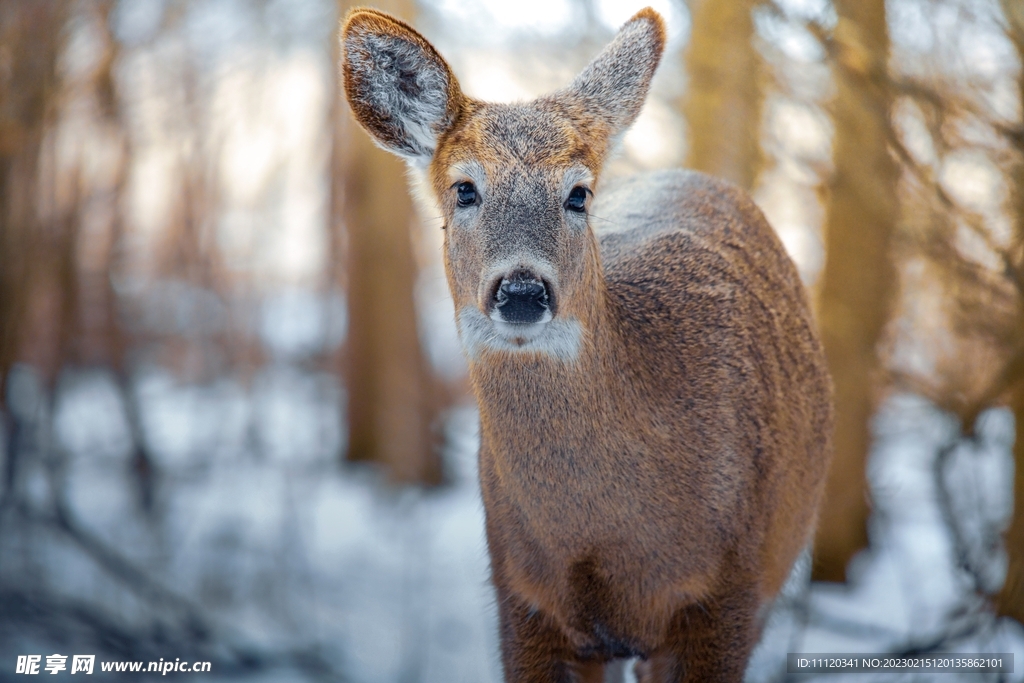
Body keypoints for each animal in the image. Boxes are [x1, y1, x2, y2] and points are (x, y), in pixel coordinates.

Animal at [339, 6, 835, 683]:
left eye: (578, 194)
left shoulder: (728, 597)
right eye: (464, 189)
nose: (522, 289)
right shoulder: (524, 601)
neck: (599, 536)